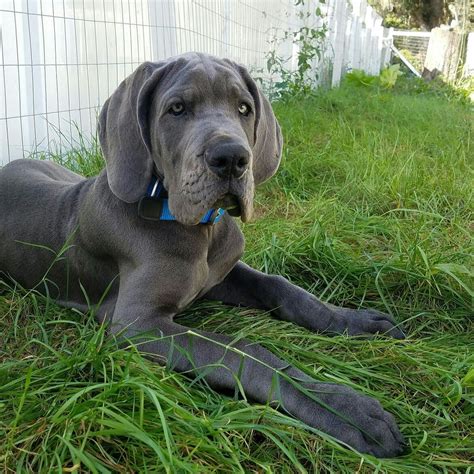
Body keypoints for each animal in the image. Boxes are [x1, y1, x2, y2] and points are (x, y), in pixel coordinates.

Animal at [1, 53, 406, 458]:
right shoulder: (137, 324)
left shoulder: (221, 274)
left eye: (243, 108)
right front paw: (343, 409)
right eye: (177, 109)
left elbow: (282, 286)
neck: (197, 229)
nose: (232, 158)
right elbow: (242, 351)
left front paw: (356, 321)